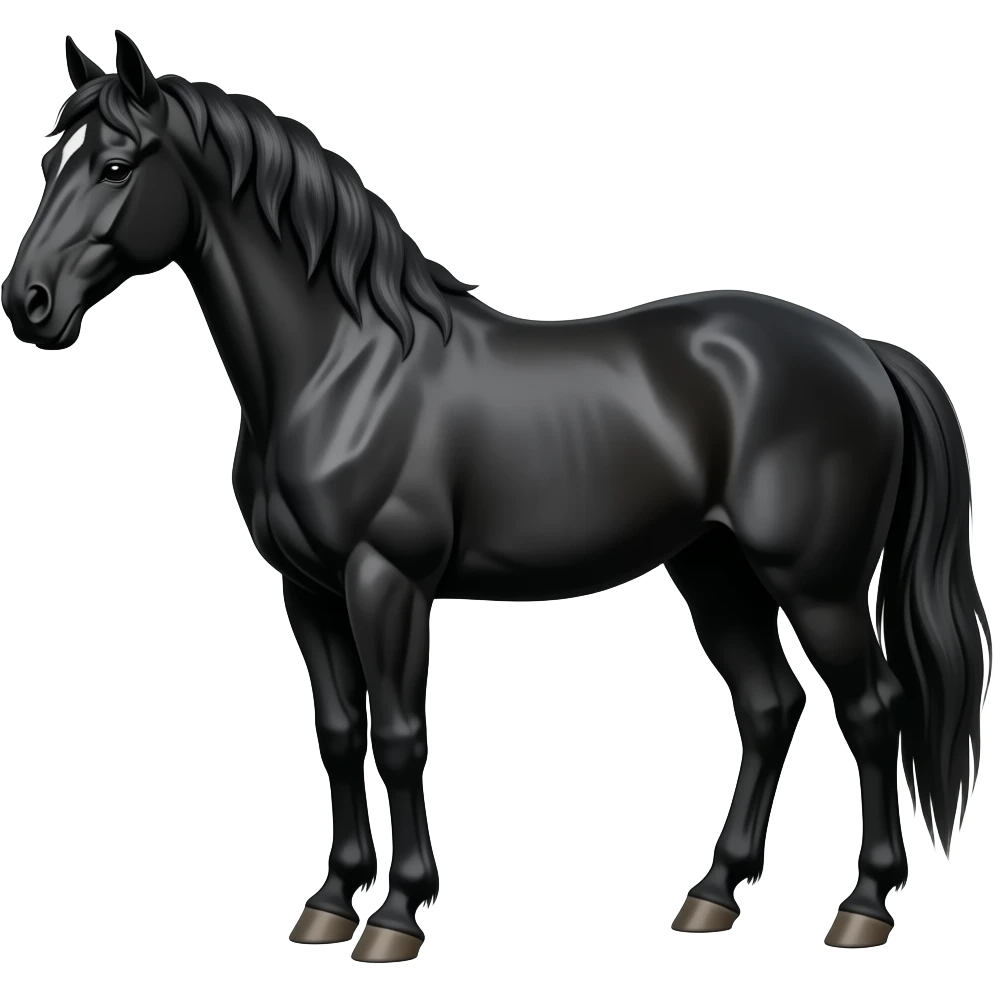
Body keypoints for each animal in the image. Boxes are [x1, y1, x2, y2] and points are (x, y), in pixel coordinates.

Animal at [3, 31, 990, 961]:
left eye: (117, 165)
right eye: (50, 164)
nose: (29, 303)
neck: (341, 367)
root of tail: (865, 353)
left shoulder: (386, 581)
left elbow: (401, 735)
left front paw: (396, 917)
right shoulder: (308, 590)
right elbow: (340, 732)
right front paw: (329, 904)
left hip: (816, 584)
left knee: (874, 710)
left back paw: (862, 907)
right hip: (713, 568)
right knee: (769, 706)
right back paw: (713, 895)